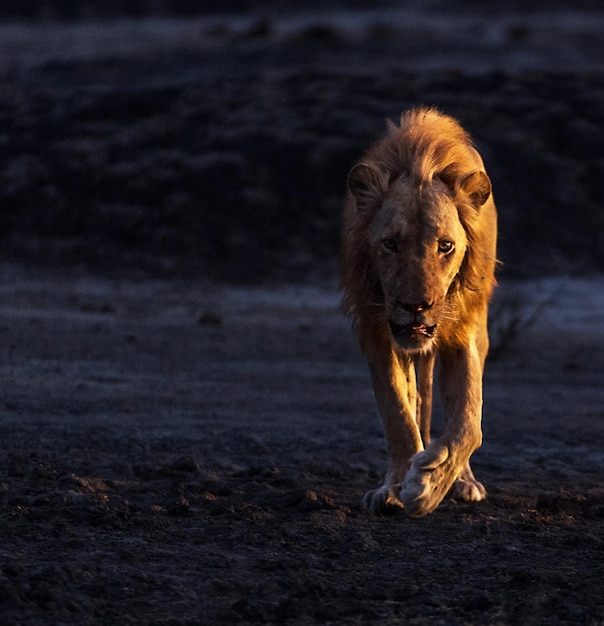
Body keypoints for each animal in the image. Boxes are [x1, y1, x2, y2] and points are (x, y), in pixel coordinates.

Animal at [342, 108, 498, 516]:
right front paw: (395, 488)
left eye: (445, 246)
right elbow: (397, 413)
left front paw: (430, 484)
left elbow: (468, 422)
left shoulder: (464, 332)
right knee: (414, 401)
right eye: (390, 244)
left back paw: (463, 481)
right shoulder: (377, 331)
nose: (416, 306)